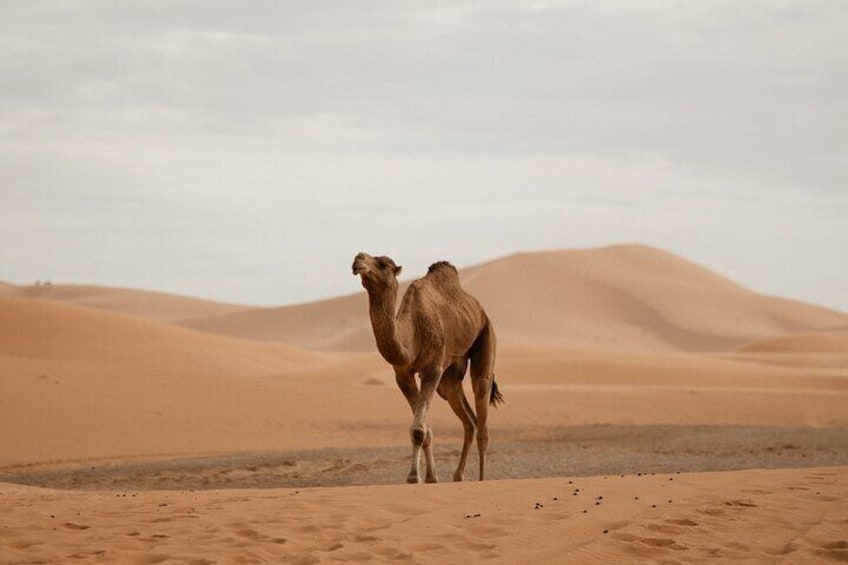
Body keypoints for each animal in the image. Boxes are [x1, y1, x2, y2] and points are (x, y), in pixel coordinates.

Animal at [352, 252, 503, 483]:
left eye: (383, 264)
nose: (358, 259)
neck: (411, 336)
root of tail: (481, 311)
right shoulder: (403, 374)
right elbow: (425, 429)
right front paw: (430, 477)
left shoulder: (433, 369)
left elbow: (418, 430)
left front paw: (414, 477)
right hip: (449, 380)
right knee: (470, 421)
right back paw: (458, 476)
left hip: (486, 337)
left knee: (482, 406)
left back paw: (481, 479)